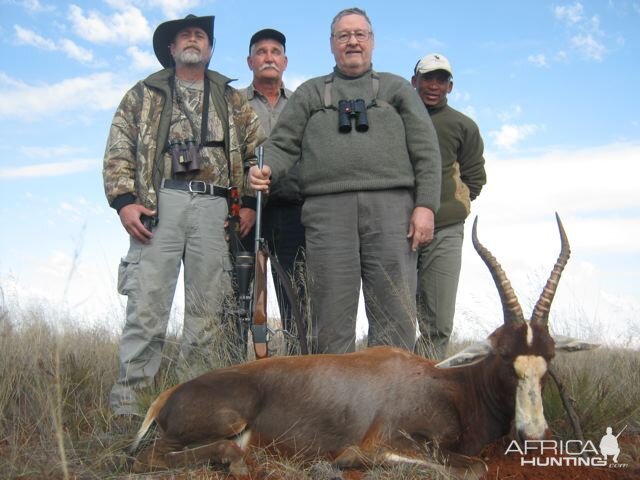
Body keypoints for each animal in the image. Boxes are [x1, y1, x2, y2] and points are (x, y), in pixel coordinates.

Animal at [127, 216, 596, 478]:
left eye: (549, 358)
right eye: (503, 357)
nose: (533, 434)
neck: (447, 384)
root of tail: (168, 395)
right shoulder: (391, 438)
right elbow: (471, 468)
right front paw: (339, 463)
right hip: (221, 423)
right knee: (148, 459)